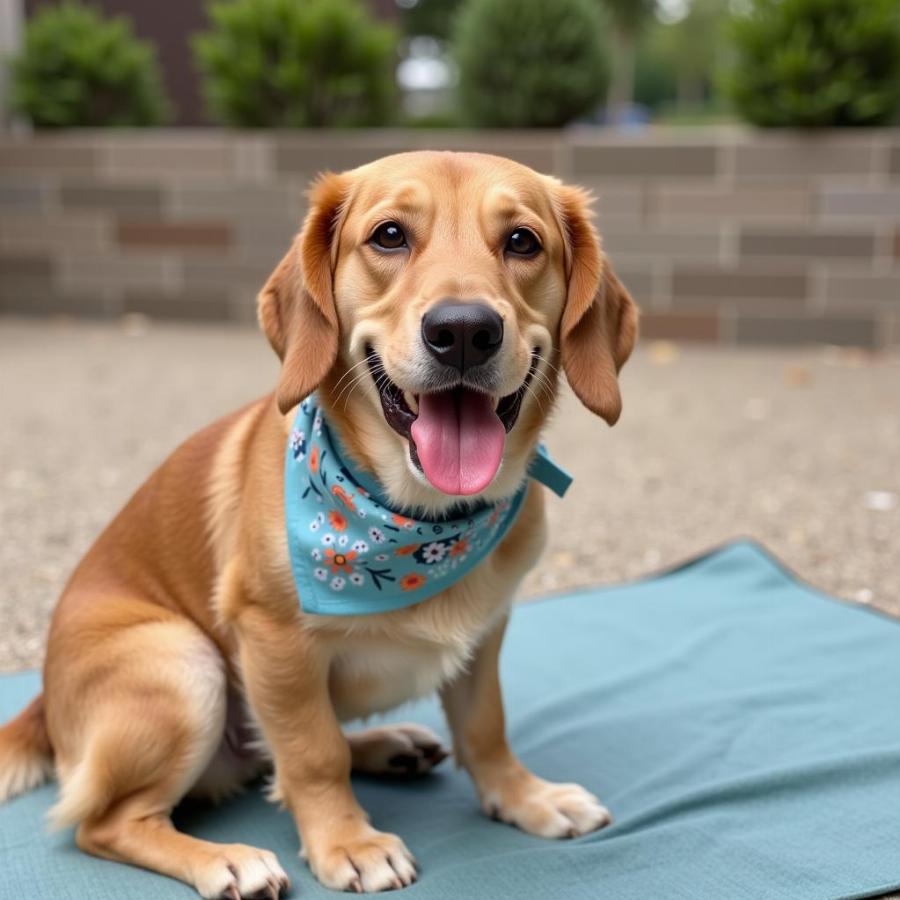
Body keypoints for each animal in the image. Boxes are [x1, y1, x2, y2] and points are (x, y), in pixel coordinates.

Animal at [0, 151, 636, 896]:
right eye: (389, 235)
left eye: (522, 242)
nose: (462, 331)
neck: (417, 521)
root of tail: (42, 700)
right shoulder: (274, 643)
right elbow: (311, 753)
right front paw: (347, 841)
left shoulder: (487, 634)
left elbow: (486, 729)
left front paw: (524, 796)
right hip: (182, 661)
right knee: (107, 823)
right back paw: (226, 860)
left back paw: (389, 746)